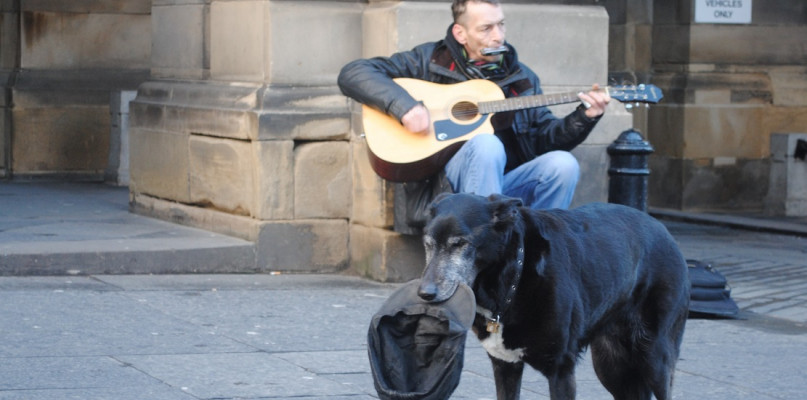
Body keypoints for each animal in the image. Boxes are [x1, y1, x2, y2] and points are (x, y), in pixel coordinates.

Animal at [416, 194, 688, 400]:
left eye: (460, 244)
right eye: (427, 244)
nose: (425, 294)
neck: (513, 277)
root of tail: (663, 230)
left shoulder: (561, 371)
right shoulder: (505, 365)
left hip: (655, 356)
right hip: (610, 362)